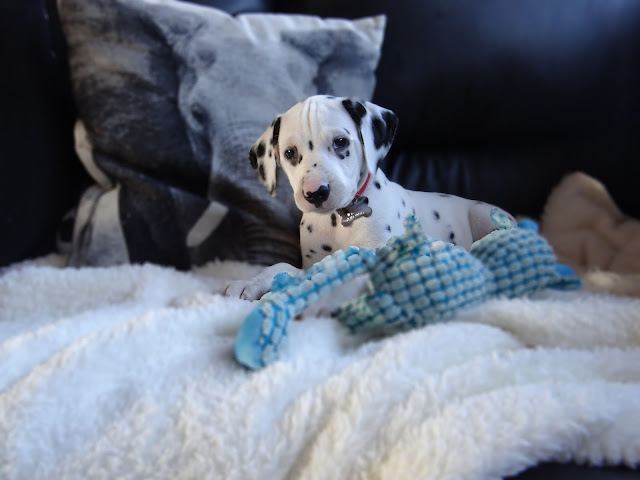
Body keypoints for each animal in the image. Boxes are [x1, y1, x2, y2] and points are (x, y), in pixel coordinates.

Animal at [225, 94, 516, 300]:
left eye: (340, 142)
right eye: (289, 153)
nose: (316, 193)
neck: (340, 220)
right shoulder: (309, 262)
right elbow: (283, 266)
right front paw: (250, 283)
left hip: (482, 215)